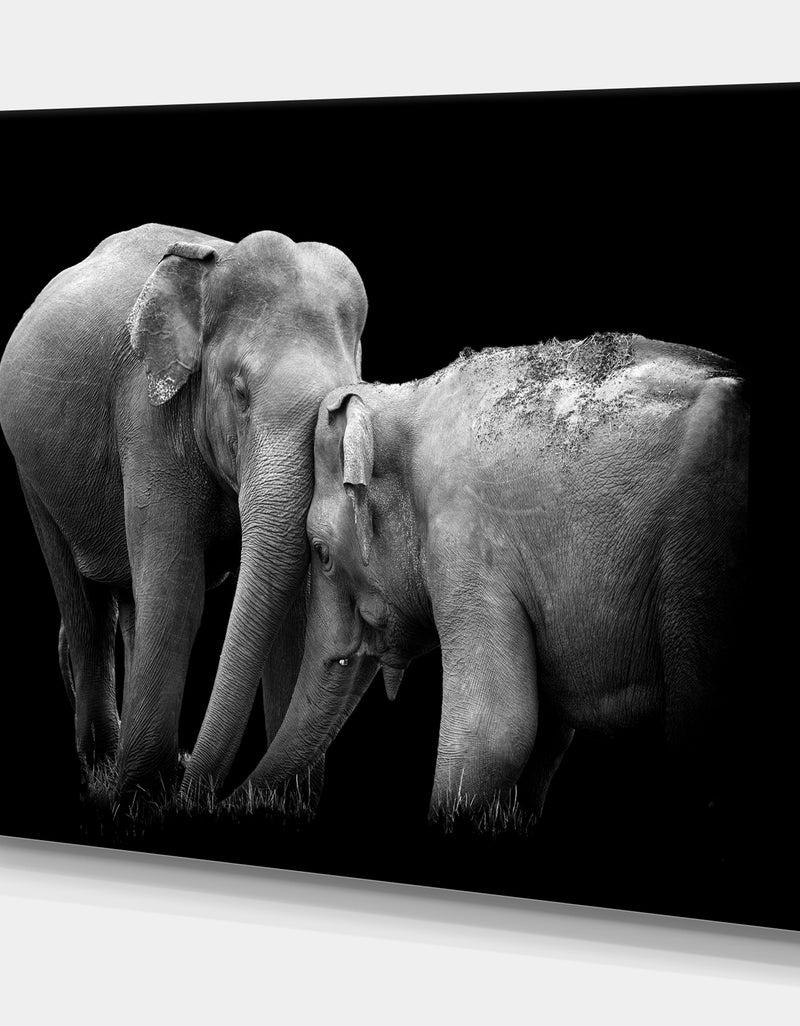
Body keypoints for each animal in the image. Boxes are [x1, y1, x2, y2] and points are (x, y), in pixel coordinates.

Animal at [0, 223, 367, 795]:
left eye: (338, 406)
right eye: (239, 391)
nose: (204, 789)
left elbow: (294, 607)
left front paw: (282, 803)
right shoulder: (147, 415)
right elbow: (177, 592)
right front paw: (143, 795)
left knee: (130, 600)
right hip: (30, 465)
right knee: (84, 603)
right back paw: (105, 767)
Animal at [231, 333, 749, 821]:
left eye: (321, 553)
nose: (225, 794)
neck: (406, 399)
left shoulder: (466, 543)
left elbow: (495, 732)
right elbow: (541, 741)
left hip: (697, 549)